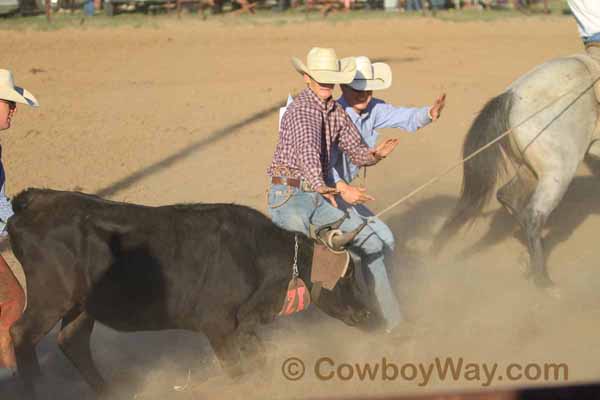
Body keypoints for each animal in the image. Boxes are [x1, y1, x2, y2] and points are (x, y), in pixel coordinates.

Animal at [434, 54, 600, 290]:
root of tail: (511, 96)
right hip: (559, 171)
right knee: (533, 215)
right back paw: (543, 281)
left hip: (530, 170)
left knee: (507, 195)